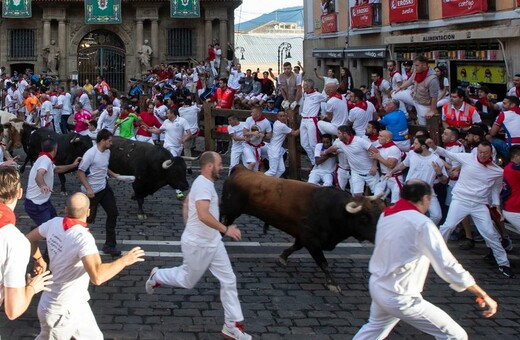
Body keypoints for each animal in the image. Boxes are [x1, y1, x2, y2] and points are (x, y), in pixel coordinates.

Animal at [220, 165, 382, 292]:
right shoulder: (311, 238)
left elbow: (295, 247)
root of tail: (240, 169)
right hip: (231, 209)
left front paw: (283, 257)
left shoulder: (303, 235)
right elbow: (323, 262)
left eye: (377, 215)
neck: (335, 209)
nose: (378, 238)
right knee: (223, 220)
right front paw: (332, 283)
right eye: (364, 218)